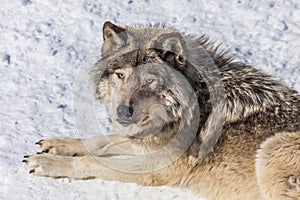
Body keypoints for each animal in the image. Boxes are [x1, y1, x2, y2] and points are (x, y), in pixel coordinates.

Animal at [23, 21, 300, 199]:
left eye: (149, 81)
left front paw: (48, 163)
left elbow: (94, 161)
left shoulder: (157, 167)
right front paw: (60, 144)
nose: (122, 112)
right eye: (121, 75)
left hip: (271, 148)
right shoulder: (145, 143)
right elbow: (102, 141)